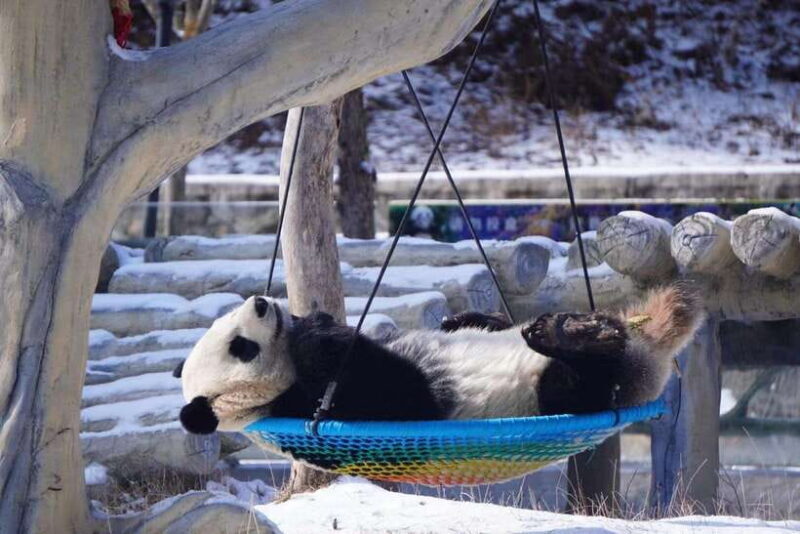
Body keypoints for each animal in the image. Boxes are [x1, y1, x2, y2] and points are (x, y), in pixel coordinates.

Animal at [175, 284, 702, 435]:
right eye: (240, 347)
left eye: (229, 323)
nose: (262, 302)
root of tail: (648, 354)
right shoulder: (332, 404)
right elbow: (397, 387)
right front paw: (313, 332)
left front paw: (311, 318)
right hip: (555, 393)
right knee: (580, 381)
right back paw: (580, 336)